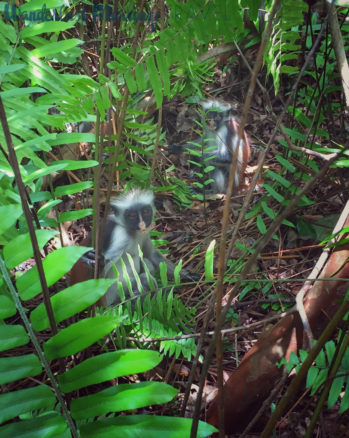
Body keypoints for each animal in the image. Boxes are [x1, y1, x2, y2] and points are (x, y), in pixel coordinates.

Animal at [70, 190, 198, 306]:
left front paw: (188, 275)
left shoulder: (144, 233)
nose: (142, 224)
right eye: (131, 215)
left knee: (147, 262)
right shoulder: (120, 236)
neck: (130, 231)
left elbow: (151, 255)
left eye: (145, 211)